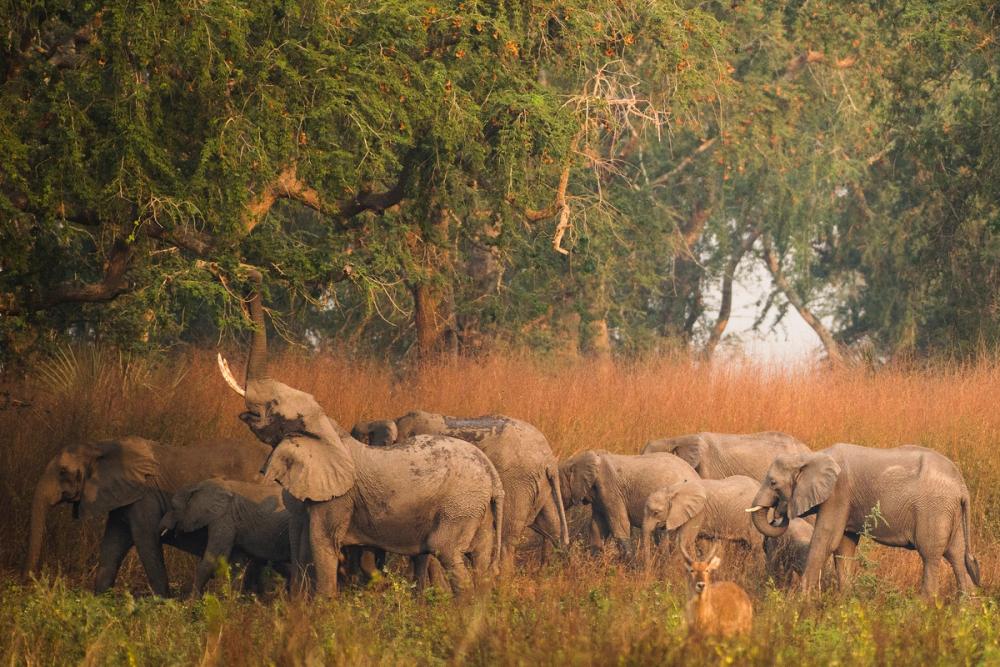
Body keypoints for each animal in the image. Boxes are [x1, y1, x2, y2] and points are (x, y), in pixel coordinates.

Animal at [26, 436, 270, 596]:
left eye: (62, 472)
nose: (31, 582)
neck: (102, 446)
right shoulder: (123, 499)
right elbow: (113, 546)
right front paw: (99, 600)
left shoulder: (145, 497)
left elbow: (147, 542)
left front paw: (164, 602)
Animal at [159, 478, 291, 596]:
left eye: (173, 507)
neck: (198, 486)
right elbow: (237, 564)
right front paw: (232, 600)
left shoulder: (224, 517)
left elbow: (213, 559)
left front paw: (191, 602)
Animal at [217, 276, 504, 596]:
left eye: (274, 405)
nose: (252, 277)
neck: (327, 430)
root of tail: (494, 478)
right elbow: (302, 544)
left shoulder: (338, 497)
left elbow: (322, 544)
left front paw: (324, 604)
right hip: (479, 511)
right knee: (480, 560)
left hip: (459, 507)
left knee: (450, 554)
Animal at [747, 443, 981, 596]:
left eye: (773, 483)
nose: (779, 514)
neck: (811, 456)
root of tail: (962, 487)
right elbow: (844, 546)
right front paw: (845, 601)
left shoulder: (838, 494)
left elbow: (826, 540)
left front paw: (800, 602)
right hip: (950, 512)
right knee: (956, 555)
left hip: (933, 509)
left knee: (931, 555)